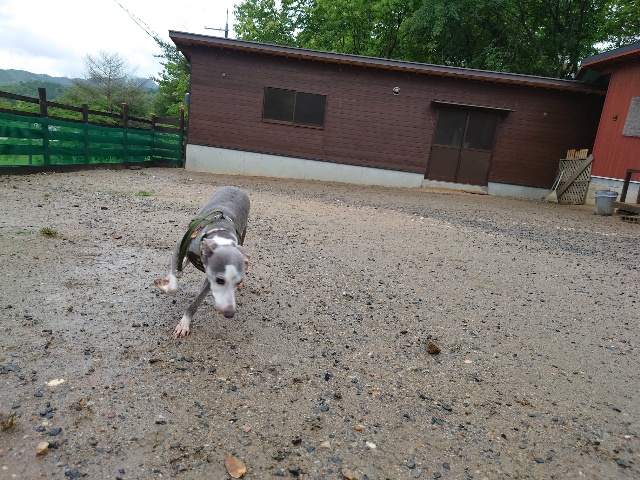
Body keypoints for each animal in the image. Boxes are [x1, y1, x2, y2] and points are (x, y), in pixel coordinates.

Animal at [155, 186, 250, 337]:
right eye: (220, 280)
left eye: (237, 281)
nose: (230, 314)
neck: (220, 235)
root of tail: (236, 187)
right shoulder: (179, 245)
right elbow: (174, 285)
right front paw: (164, 285)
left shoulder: (209, 278)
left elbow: (197, 300)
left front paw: (184, 323)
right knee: (181, 264)